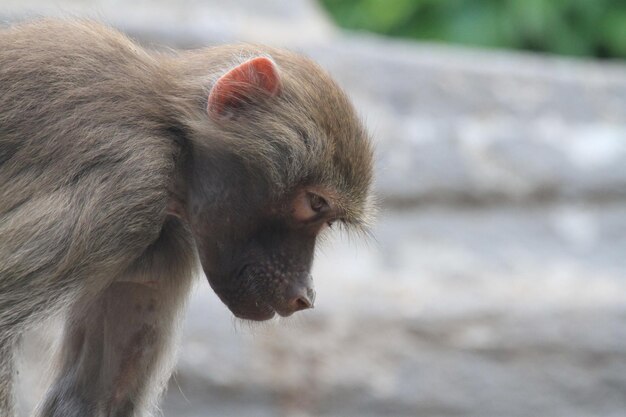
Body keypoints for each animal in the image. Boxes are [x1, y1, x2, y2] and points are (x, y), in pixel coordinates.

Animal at [0, 17, 370, 414]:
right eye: (315, 203)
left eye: (326, 215)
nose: (306, 295)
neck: (171, 134)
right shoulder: (128, 181)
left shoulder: (164, 244)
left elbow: (95, 397)